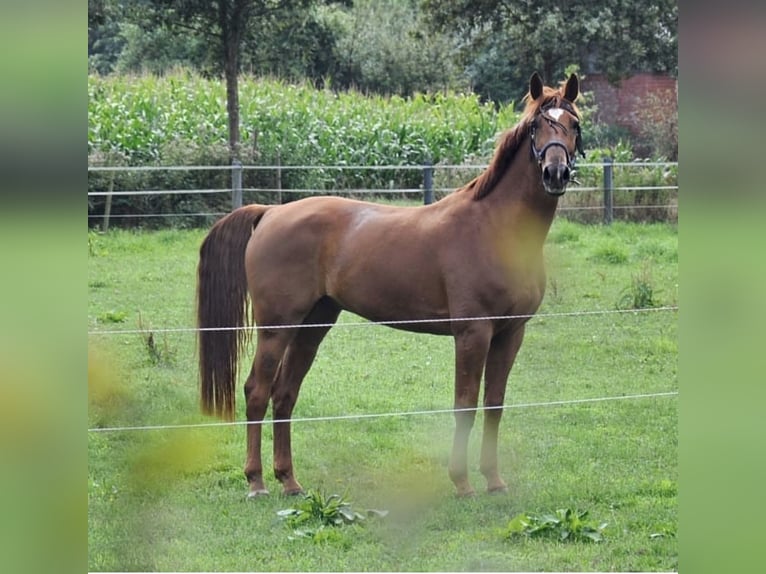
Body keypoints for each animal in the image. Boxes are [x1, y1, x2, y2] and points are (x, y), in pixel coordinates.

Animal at [197, 72, 584, 498]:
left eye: (575, 124)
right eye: (535, 126)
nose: (555, 173)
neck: (495, 228)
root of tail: (271, 212)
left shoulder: (511, 333)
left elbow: (494, 403)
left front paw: (494, 480)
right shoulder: (473, 332)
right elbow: (465, 404)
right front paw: (462, 482)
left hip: (312, 325)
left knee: (285, 394)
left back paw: (290, 481)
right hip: (276, 327)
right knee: (257, 391)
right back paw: (256, 481)